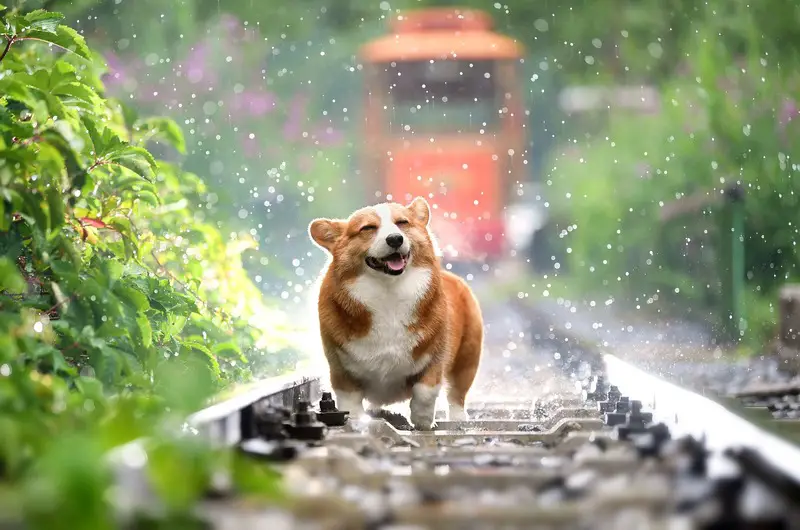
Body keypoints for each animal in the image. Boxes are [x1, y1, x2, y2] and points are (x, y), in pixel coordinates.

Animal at [304, 196, 482, 426]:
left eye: (402, 223)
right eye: (368, 228)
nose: (395, 239)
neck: (388, 292)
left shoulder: (435, 357)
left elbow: (425, 392)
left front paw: (423, 421)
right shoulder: (340, 368)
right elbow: (350, 401)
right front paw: (356, 420)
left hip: (467, 358)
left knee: (457, 395)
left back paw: (459, 418)